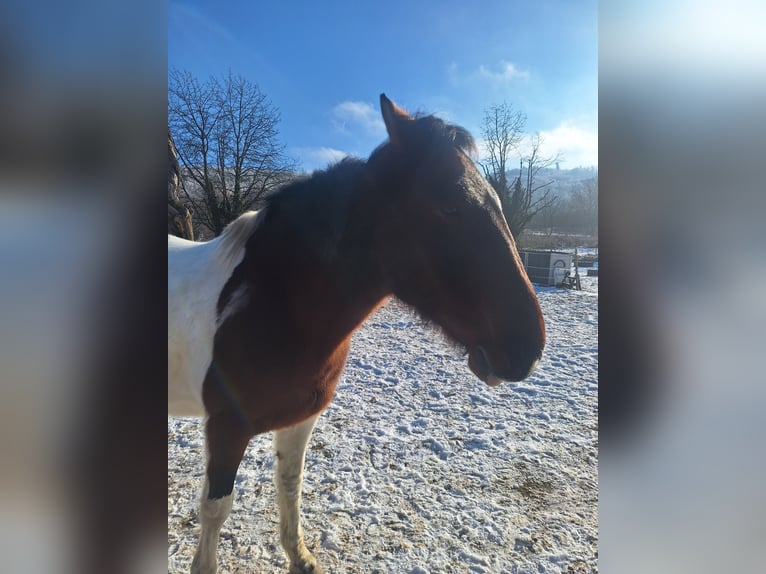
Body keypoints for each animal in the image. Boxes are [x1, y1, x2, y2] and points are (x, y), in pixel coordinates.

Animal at [168, 94, 546, 574]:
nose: (528, 348)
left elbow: (289, 485)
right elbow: (215, 509)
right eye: (448, 205)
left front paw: (301, 557)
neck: (275, 302)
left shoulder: (300, 419)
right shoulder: (225, 428)